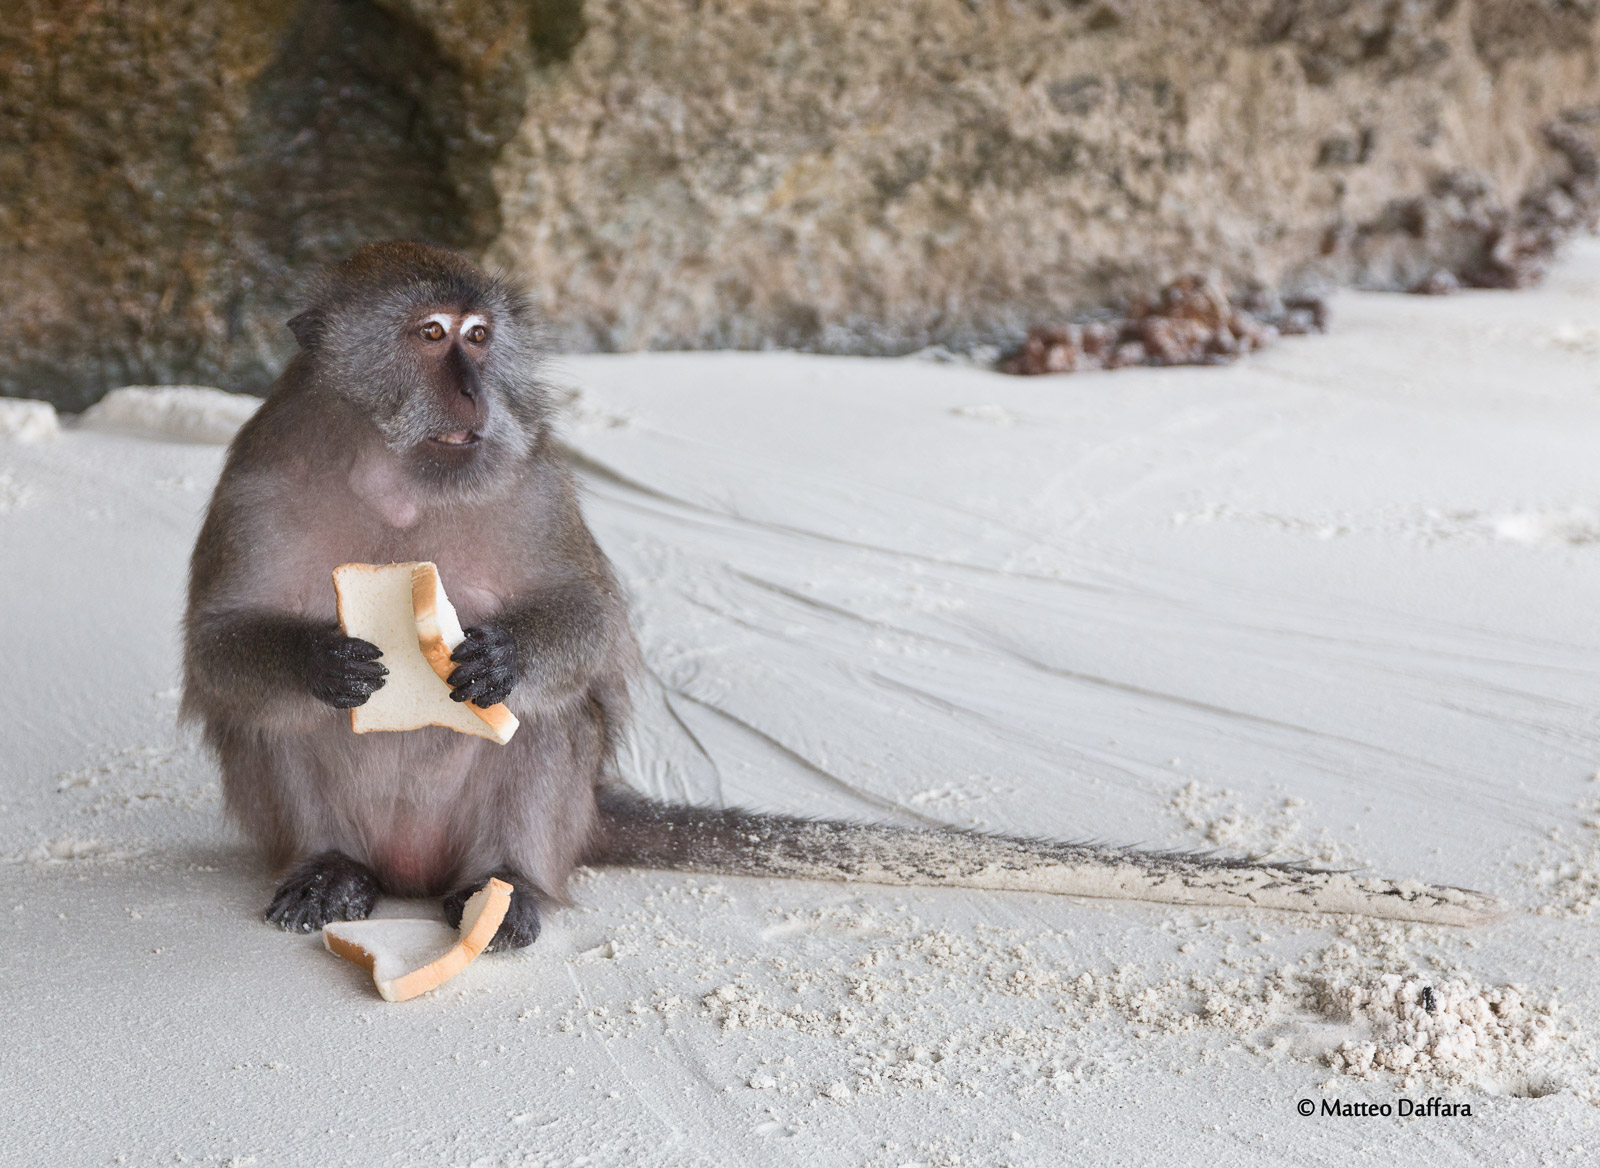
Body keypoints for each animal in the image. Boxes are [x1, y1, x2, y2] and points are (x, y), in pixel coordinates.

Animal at [181, 241, 1501, 953]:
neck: (401, 480)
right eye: (426, 335)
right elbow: (217, 649)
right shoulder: (260, 470)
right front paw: (324, 662)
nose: (472, 390)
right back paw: (332, 869)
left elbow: (590, 623)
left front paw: (502, 659)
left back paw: (498, 892)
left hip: (532, 822)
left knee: (551, 733)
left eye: (480, 335)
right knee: (269, 728)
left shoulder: (529, 472)